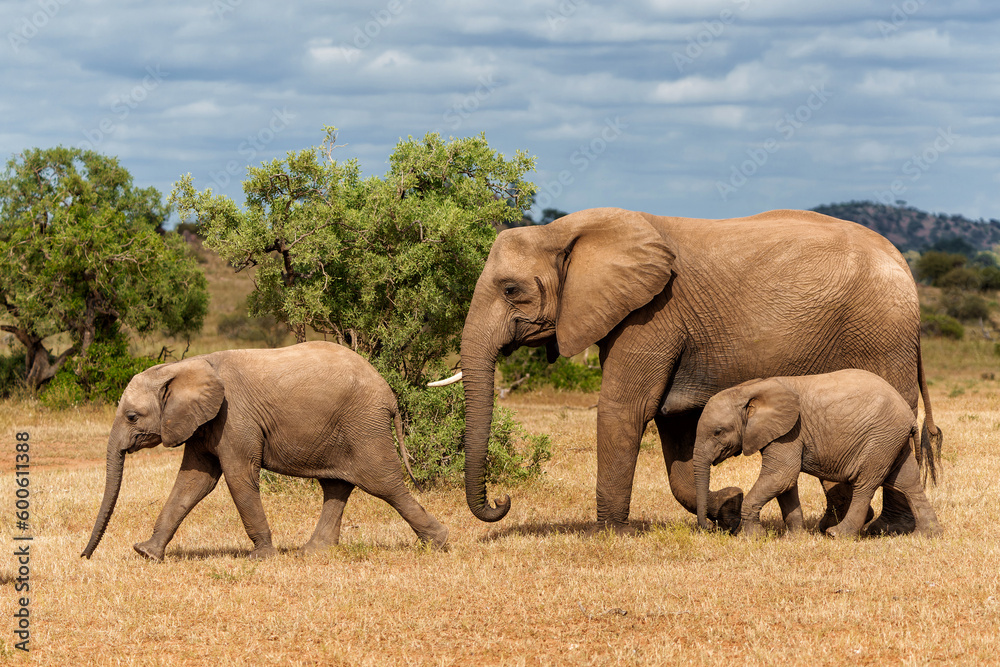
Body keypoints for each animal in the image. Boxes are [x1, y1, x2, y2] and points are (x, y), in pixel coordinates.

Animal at [81, 341, 448, 561]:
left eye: (132, 417)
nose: (84, 557)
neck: (186, 365)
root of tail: (388, 394)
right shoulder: (205, 421)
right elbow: (194, 482)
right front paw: (146, 553)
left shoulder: (233, 418)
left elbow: (238, 478)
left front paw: (262, 558)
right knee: (336, 485)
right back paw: (311, 552)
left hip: (364, 425)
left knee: (383, 483)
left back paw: (439, 543)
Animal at [693, 369, 942, 538]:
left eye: (718, 431)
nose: (711, 528)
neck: (749, 389)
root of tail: (909, 417)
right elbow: (786, 485)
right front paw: (795, 539)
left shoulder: (790, 432)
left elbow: (781, 477)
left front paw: (751, 537)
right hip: (892, 441)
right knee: (907, 482)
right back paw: (927, 535)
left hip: (880, 438)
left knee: (866, 483)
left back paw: (837, 534)